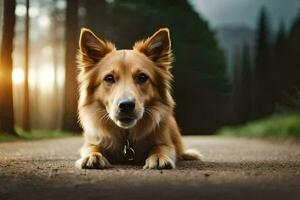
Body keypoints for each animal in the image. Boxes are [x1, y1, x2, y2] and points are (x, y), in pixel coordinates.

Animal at [75, 27, 202, 170]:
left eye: (142, 77)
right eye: (109, 78)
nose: (126, 105)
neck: (127, 138)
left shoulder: (165, 142)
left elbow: (161, 147)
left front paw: (158, 156)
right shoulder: (91, 141)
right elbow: (92, 147)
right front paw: (93, 156)